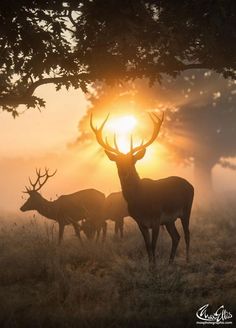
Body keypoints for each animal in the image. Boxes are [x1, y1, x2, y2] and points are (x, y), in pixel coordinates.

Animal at [90, 113, 194, 266]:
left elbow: (153, 245)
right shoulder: (140, 221)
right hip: (169, 220)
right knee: (176, 236)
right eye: (117, 162)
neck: (141, 201)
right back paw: (170, 262)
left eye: (132, 160)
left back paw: (187, 260)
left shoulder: (156, 218)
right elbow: (147, 246)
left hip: (186, 210)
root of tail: (190, 185)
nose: (124, 172)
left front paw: (155, 268)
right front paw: (151, 267)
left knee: (187, 234)